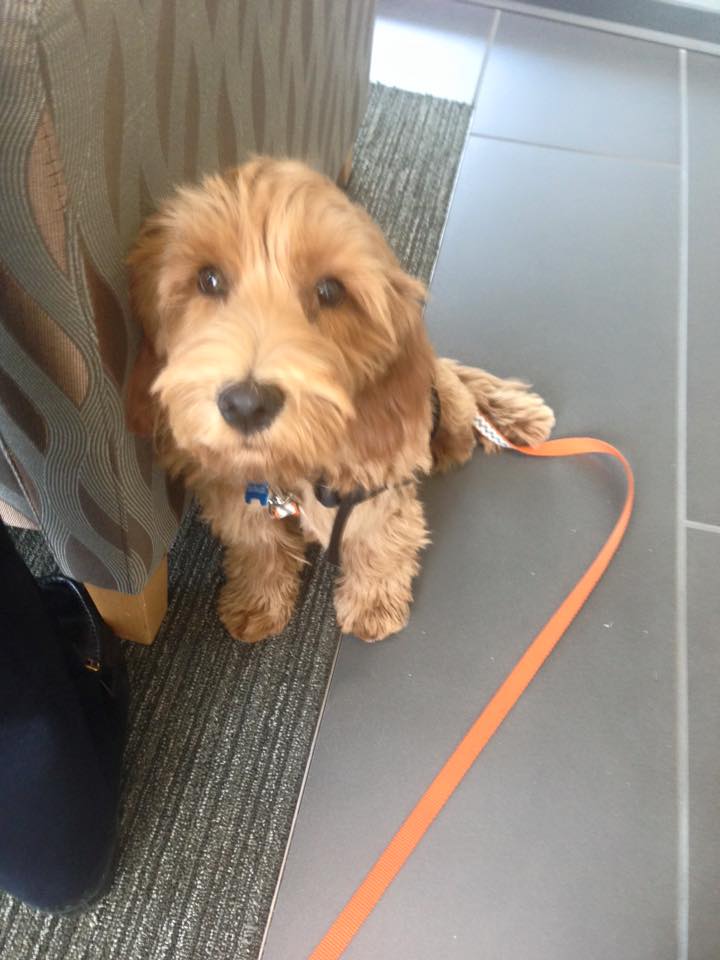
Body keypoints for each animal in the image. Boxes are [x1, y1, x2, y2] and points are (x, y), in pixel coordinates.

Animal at [126, 158, 556, 640]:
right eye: (209, 279)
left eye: (330, 291)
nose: (246, 405)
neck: (291, 468)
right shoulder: (238, 493)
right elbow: (259, 545)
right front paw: (258, 600)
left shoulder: (377, 493)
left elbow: (380, 545)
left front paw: (373, 604)